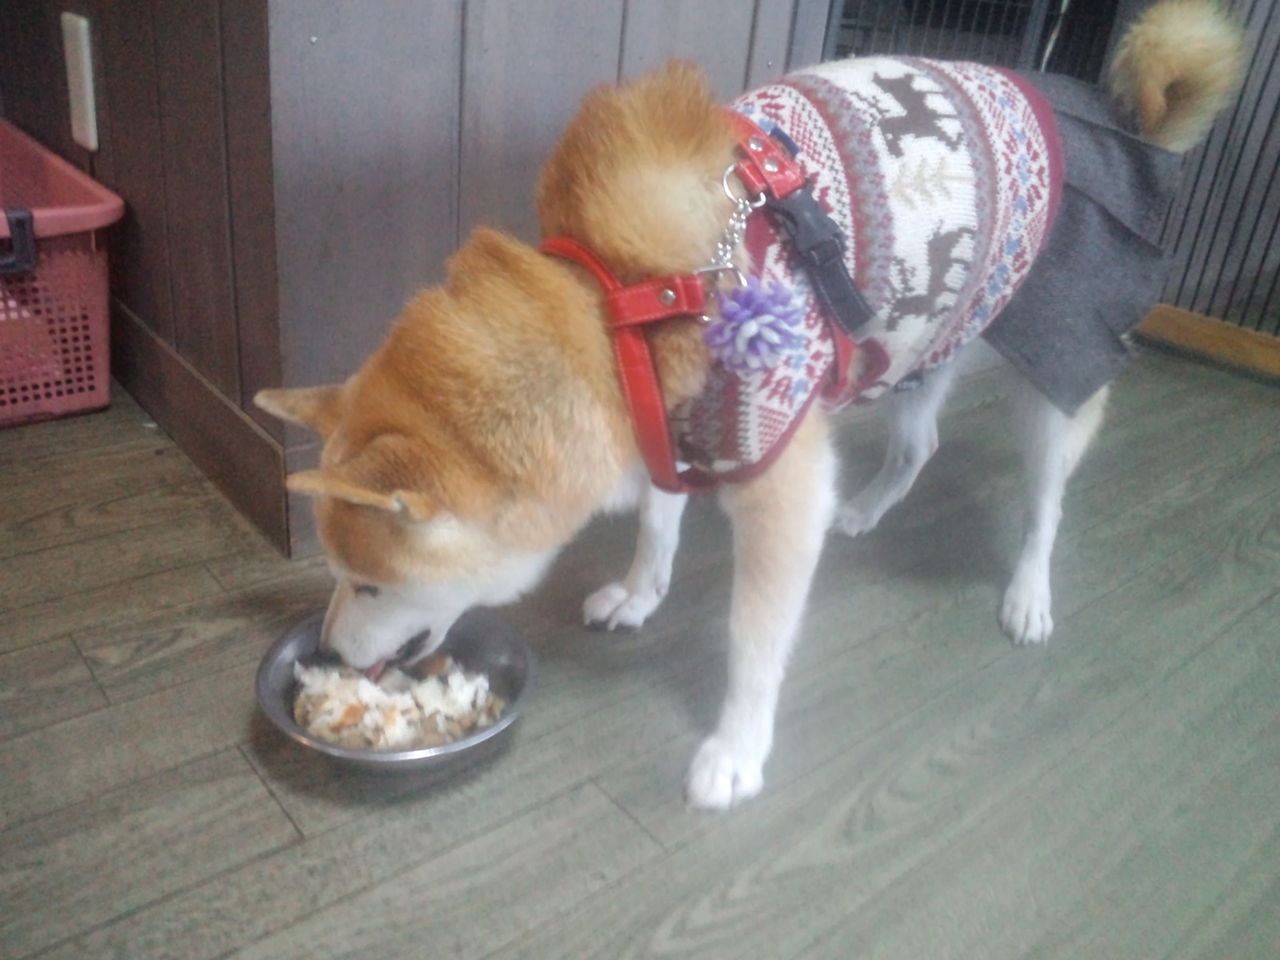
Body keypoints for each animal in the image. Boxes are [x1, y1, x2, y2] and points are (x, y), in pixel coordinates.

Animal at [256, 0, 1245, 809]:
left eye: (370, 583)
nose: (331, 654)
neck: (623, 303)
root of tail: (1124, 117)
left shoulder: (773, 481)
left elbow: (754, 640)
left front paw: (736, 750)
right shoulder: (663, 420)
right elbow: (657, 525)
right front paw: (640, 594)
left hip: (1053, 368)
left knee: (1046, 502)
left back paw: (1030, 593)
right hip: (925, 339)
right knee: (917, 446)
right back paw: (871, 510)